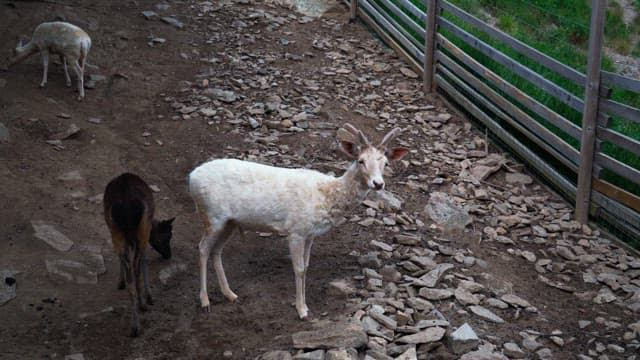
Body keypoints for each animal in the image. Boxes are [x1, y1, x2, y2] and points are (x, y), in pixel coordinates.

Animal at [188, 123, 408, 318]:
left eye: (386, 163)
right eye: (361, 160)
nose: (378, 183)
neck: (326, 197)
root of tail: (191, 178)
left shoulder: (310, 234)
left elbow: (307, 266)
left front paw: (304, 305)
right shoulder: (296, 230)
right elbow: (299, 269)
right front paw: (302, 310)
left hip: (229, 223)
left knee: (216, 251)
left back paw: (230, 294)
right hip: (211, 216)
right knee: (202, 248)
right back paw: (205, 301)